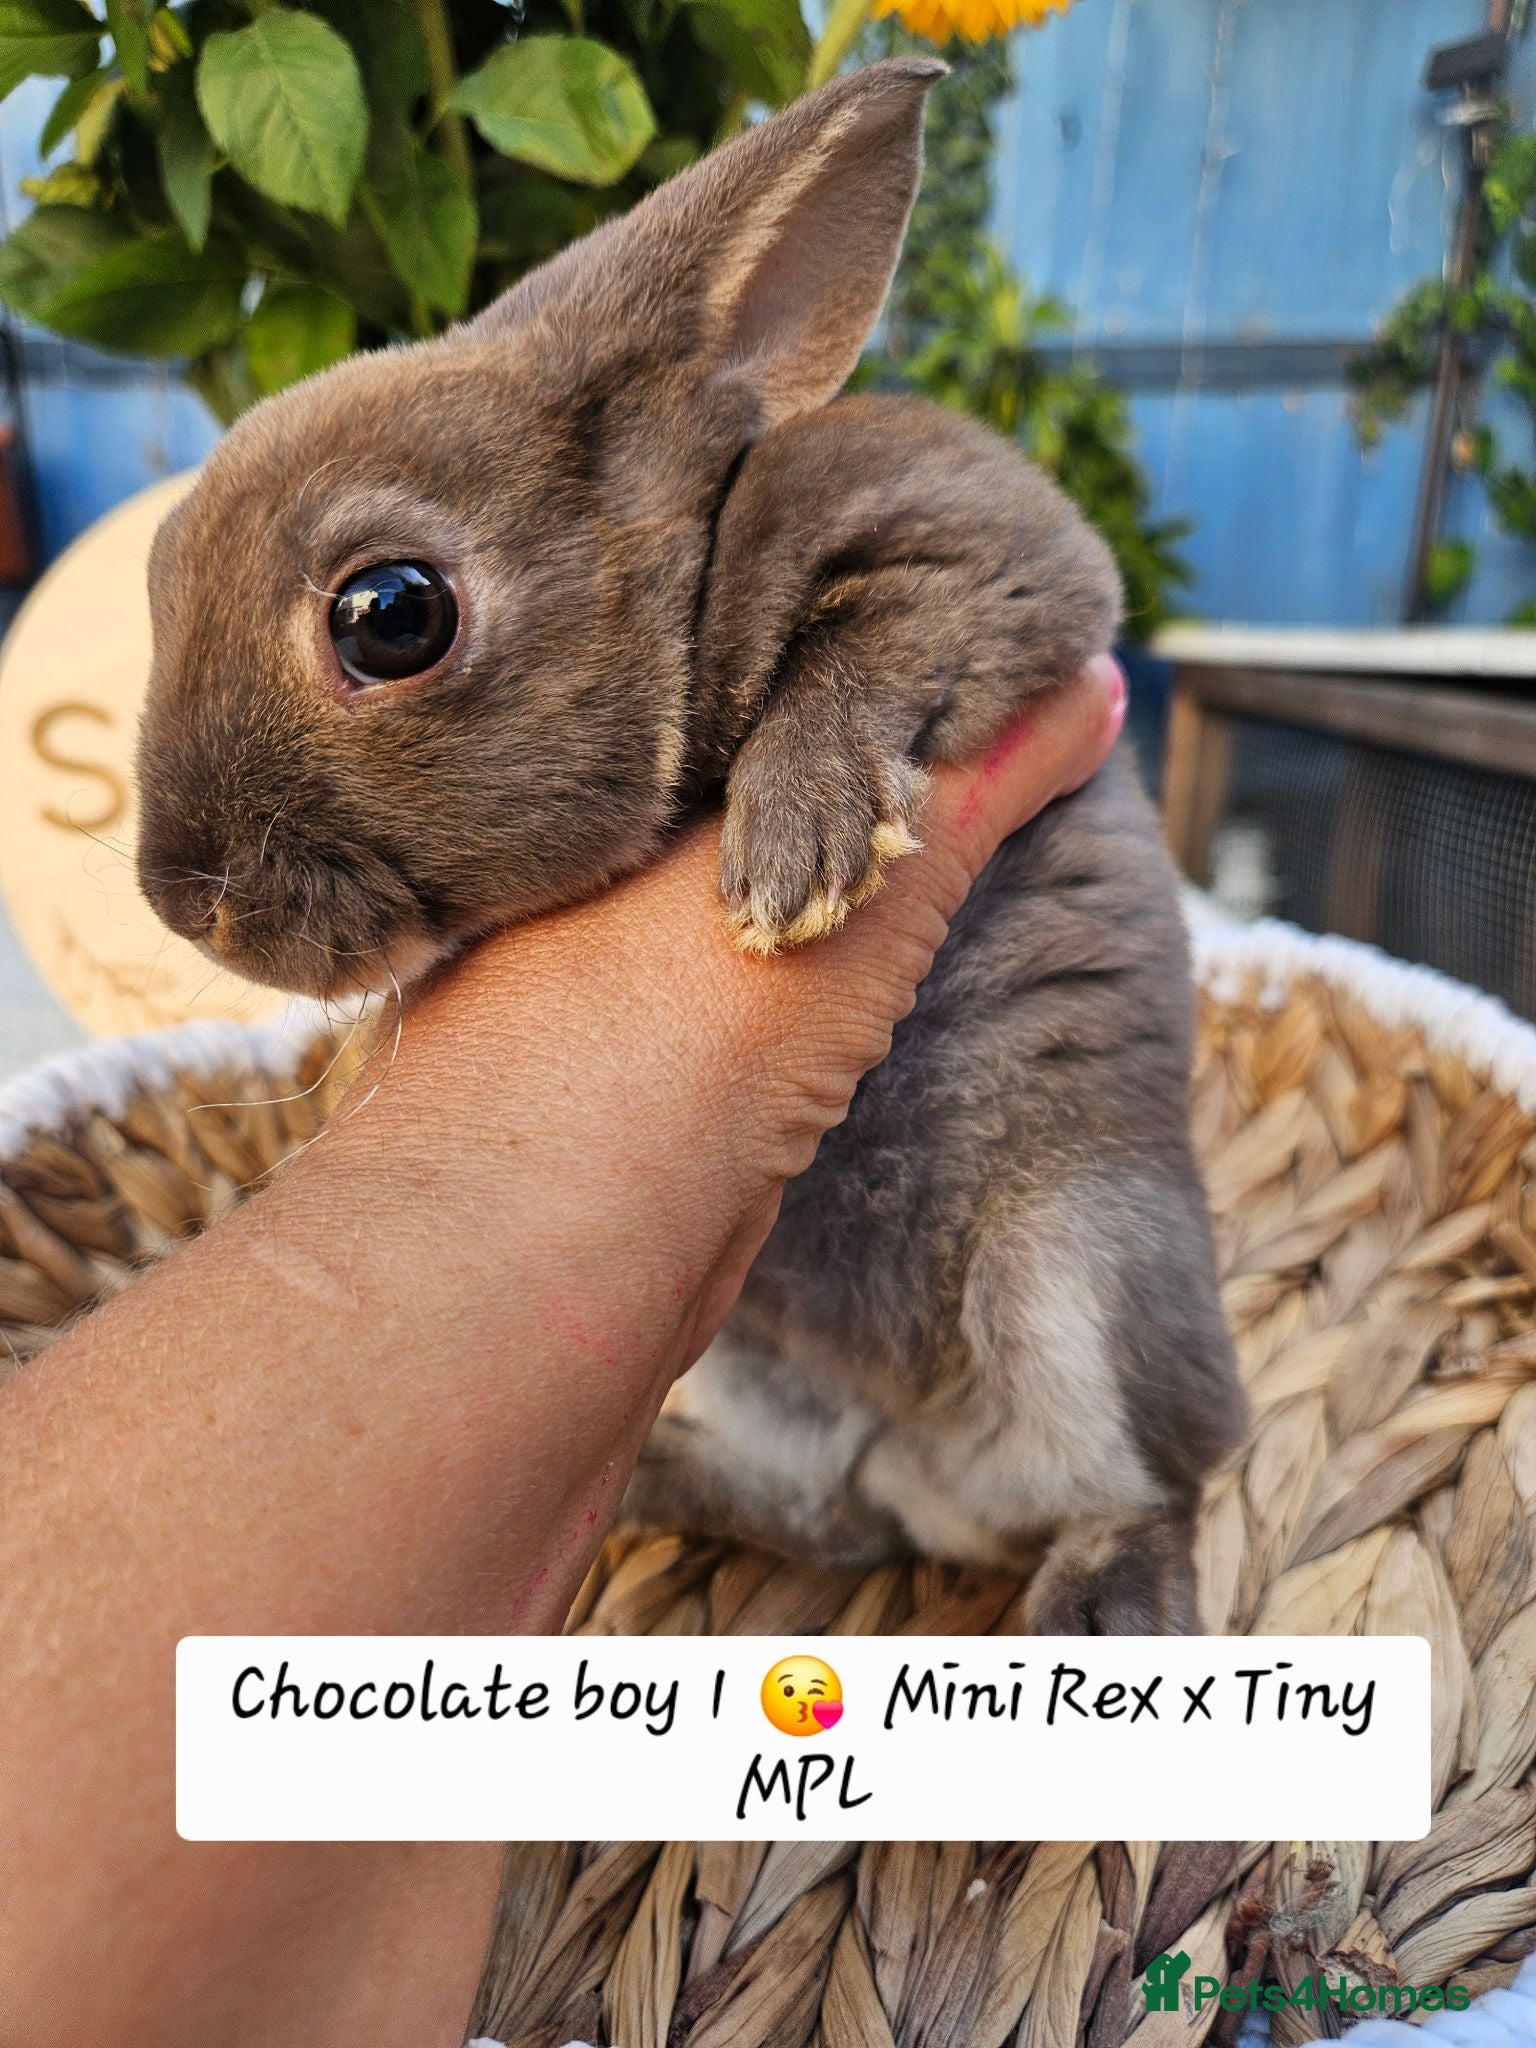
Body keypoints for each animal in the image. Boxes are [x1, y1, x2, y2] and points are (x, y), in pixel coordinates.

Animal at [135, 58, 1245, 1632]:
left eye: (392, 614)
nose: (184, 901)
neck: (691, 579)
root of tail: (920, 1444)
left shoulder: (1005, 565)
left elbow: (869, 637)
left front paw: (798, 849)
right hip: (754, 1356)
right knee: (837, 1513)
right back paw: (663, 1487)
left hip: (1080, 1269)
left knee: (1140, 1487)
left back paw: (1102, 1611)